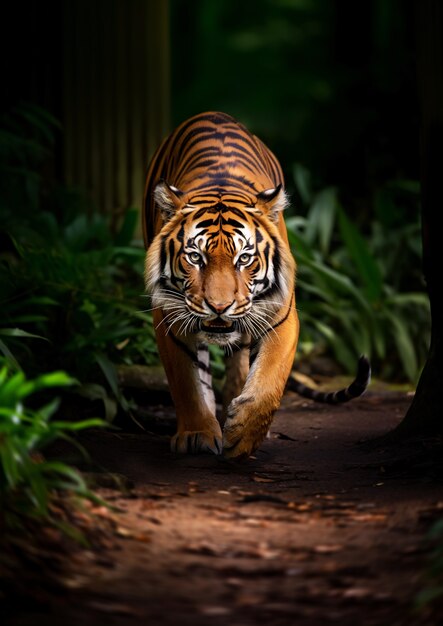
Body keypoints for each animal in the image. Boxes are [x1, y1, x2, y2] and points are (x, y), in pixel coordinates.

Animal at [143, 111, 372, 458]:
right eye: (195, 257)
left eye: (244, 258)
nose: (219, 306)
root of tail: (212, 114)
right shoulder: (169, 316)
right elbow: (186, 382)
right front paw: (197, 433)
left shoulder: (282, 316)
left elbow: (269, 381)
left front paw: (244, 434)